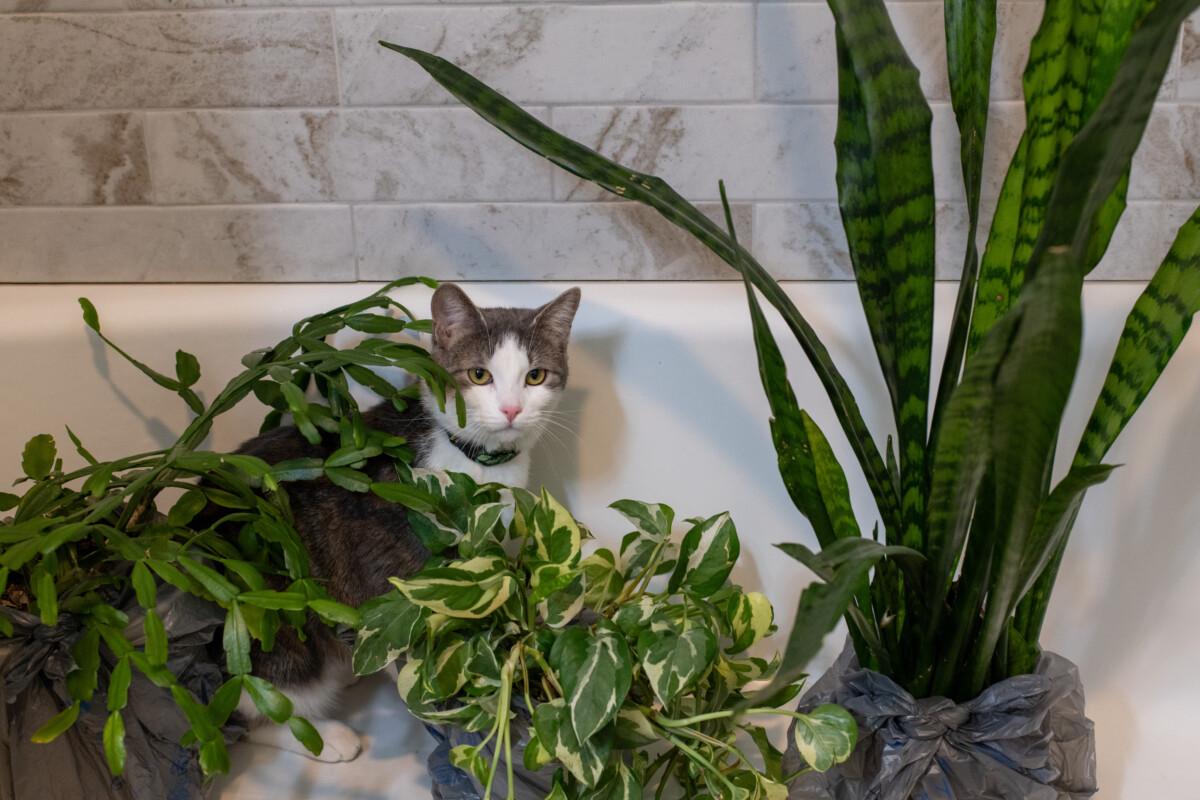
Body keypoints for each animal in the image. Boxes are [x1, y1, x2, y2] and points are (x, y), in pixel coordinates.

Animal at [228, 283, 580, 762]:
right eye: (479, 375)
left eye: (536, 376)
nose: (511, 410)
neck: (476, 463)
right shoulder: (394, 579)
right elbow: (410, 660)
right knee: (249, 711)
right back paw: (326, 735)